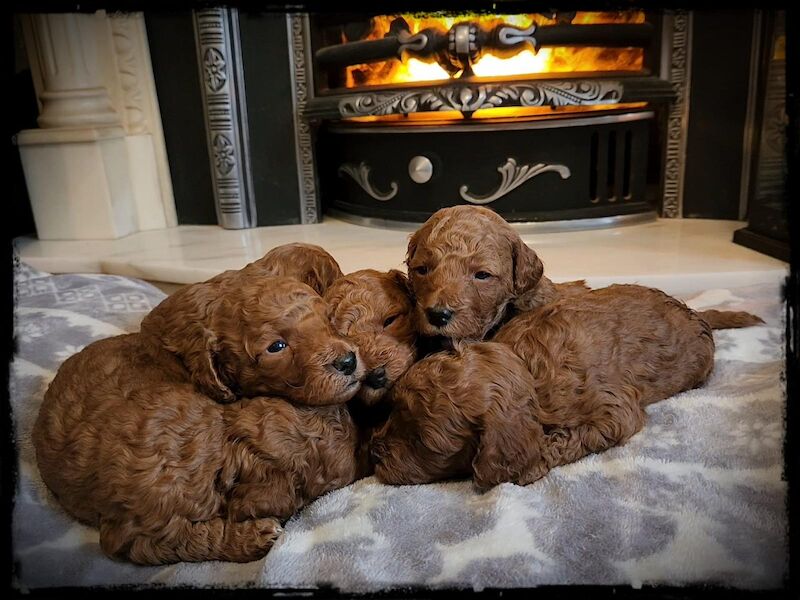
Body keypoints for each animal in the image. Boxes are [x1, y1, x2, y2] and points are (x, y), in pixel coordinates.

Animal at [372, 284, 764, 490]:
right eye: (392, 407)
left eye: (424, 443)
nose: (375, 453)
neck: (525, 365)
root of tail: (698, 314)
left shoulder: (613, 409)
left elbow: (572, 437)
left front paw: (536, 461)